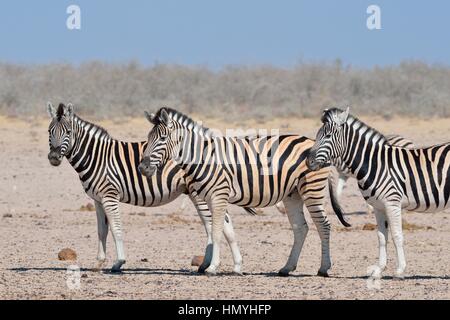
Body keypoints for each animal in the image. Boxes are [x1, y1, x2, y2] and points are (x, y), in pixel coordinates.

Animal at [48, 102, 256, 272]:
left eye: (68, 132)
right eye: (50, 132)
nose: (54, 157)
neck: (96, 157)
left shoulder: (109, 195)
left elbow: (115, 228)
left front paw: (118, 262)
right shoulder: (97, 199)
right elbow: (101, 230)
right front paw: (99, 263)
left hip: (200, 193)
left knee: (213, 224)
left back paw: (210, 264)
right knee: (223, 223)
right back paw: (221, 264)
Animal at [139, 107, 350, 276]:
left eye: (162, 138)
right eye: (148, 139)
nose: (142, 168)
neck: (203, 157)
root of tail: (313, 142)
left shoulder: (218, 195)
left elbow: (216, 232)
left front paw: (212, 268)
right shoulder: (212, 198)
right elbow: (228, 232)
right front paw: (237, 267)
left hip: (312, 189)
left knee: (324, 225)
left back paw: (323, 268)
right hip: (293, 194)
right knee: (301, 228)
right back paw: (286, 268)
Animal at [308, 107, 448, 278]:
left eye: (328, 136)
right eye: (317, 136)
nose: (308, 162)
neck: (375, 164)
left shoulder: (392, 203)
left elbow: (397, 235)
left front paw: (400, 269)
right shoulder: (378, 206)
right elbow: (381, 237)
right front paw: (379, 269)